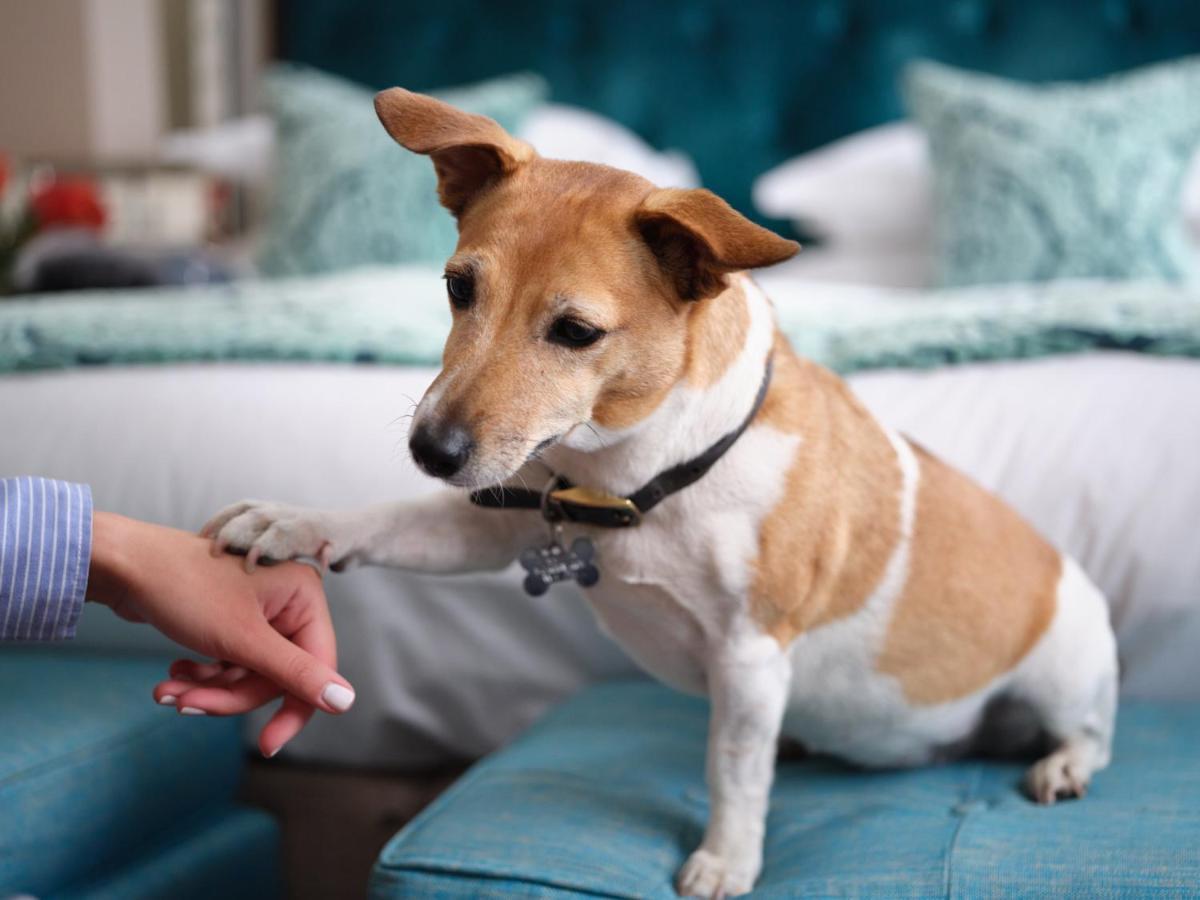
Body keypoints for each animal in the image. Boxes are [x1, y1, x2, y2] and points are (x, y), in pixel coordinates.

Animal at [204, 88, 1113, 897]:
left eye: (576, 332)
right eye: (459, 287)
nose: (432, 450)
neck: (633, 480)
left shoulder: (749, 656)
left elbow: (733, 771)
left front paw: (725, 862)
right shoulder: (499, 521)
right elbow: (387, 522)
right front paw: (291, 522)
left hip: (1067, 673)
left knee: (1094, 735)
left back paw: (1061, 764)